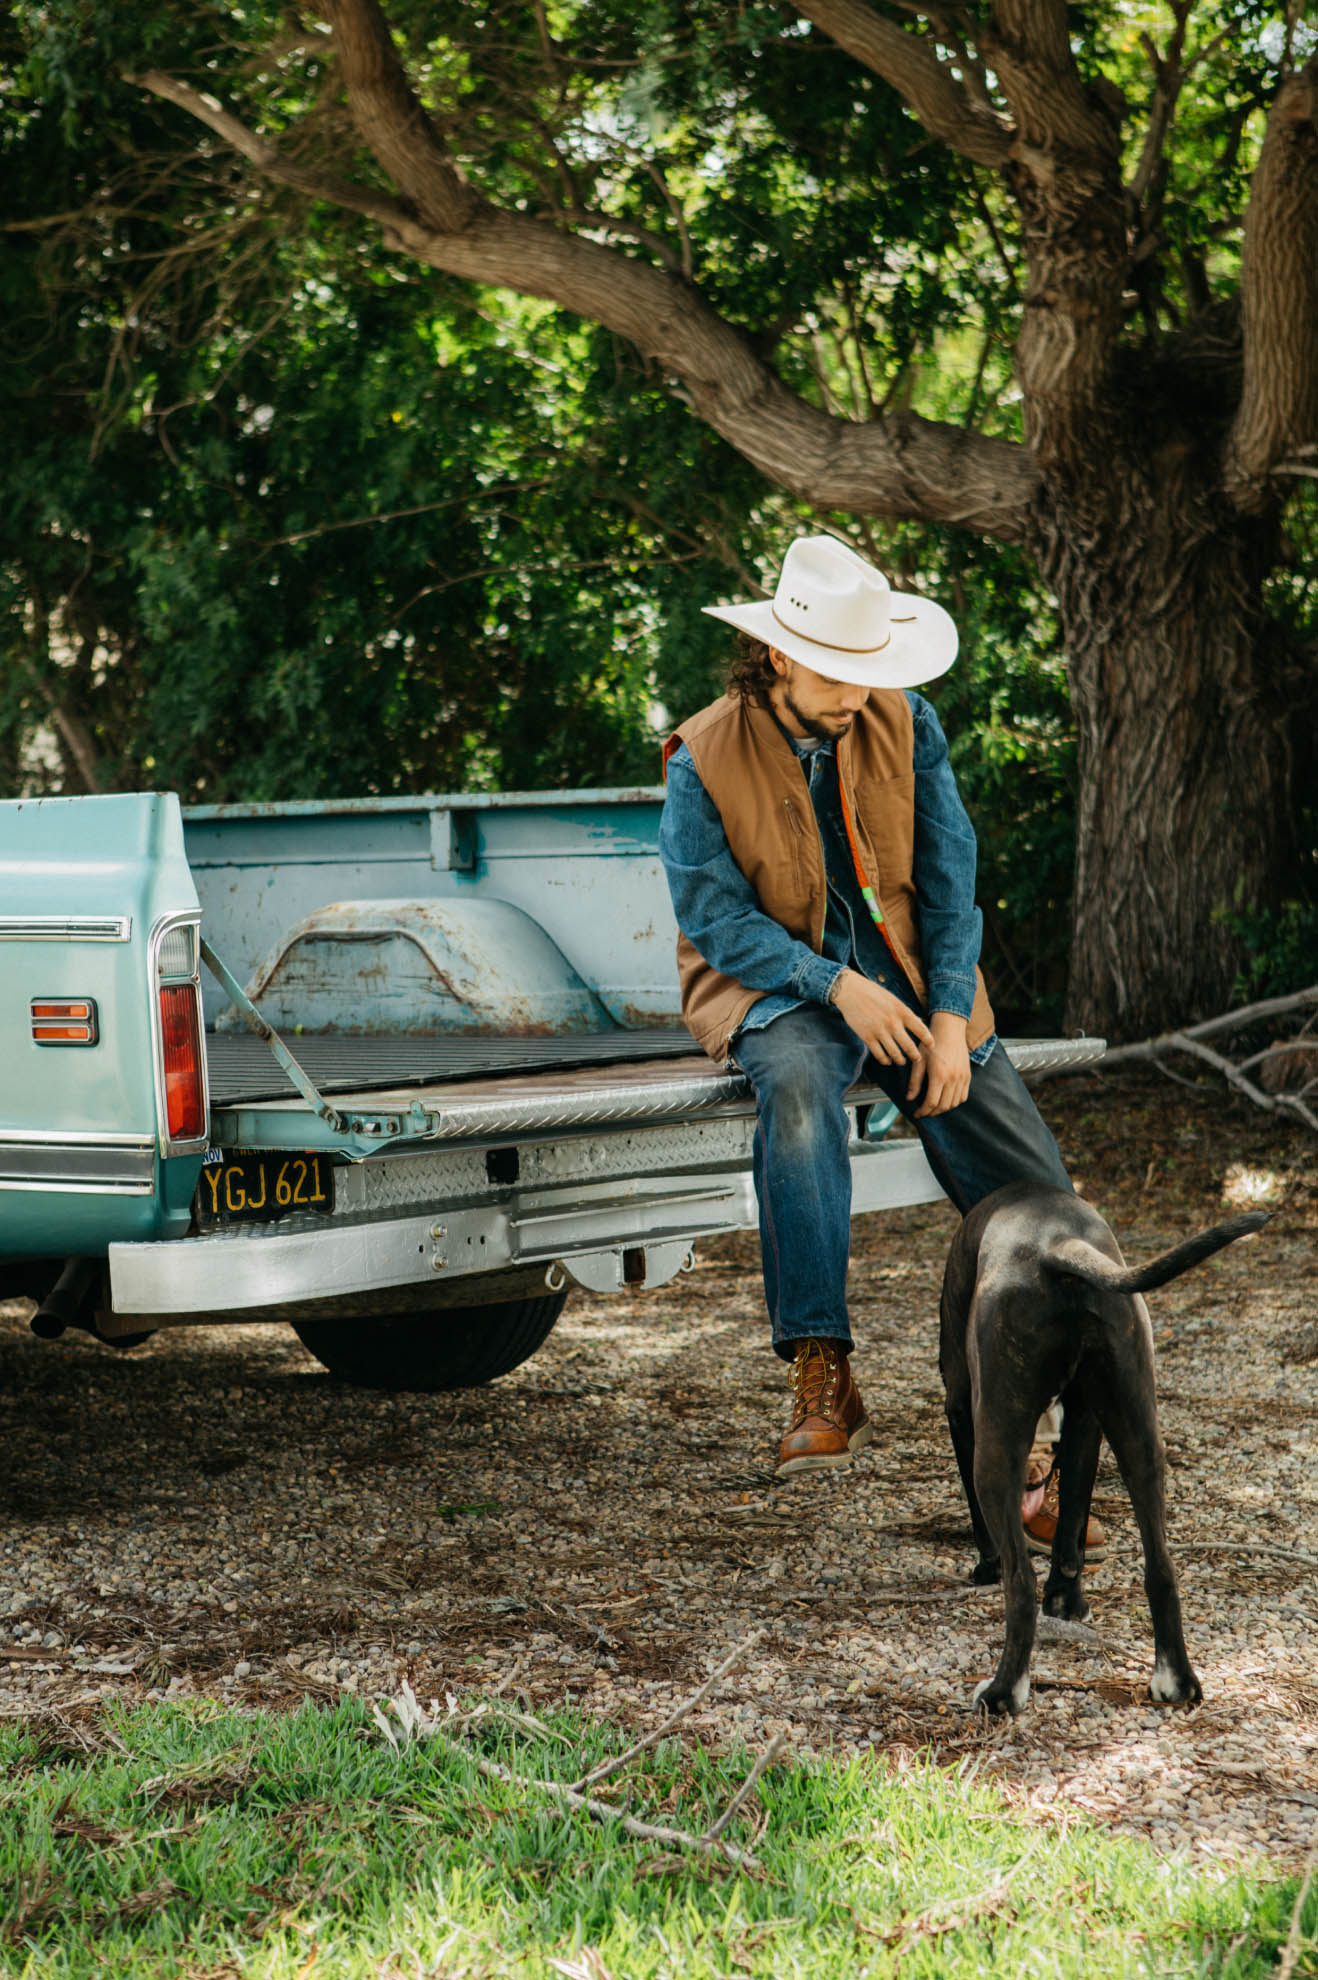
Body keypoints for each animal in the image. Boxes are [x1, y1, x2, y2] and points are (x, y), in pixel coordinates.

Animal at [934, 1180, 1266, 1710]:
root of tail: (1057, 1245)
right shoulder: (1087, 1423)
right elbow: (1072, 1519)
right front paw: (1068, 1601)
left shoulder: (963, 1409)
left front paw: (986, 1568)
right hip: (1139, 1430)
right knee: (1161, 1567)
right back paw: (1176, 1680)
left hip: (995, 1447)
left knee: (1019, 1583)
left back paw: (1004, 1690)